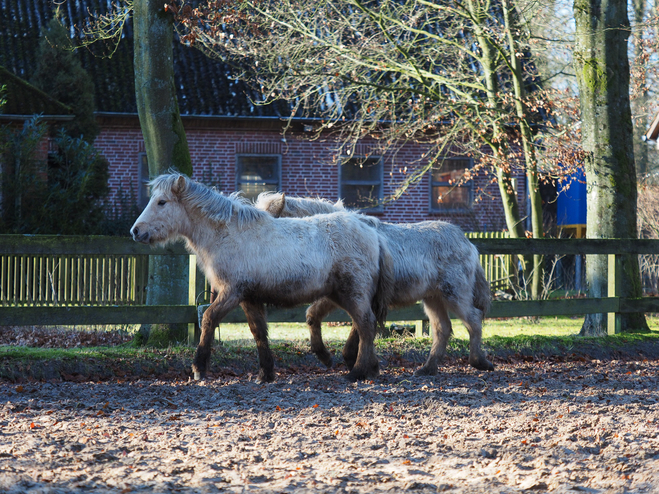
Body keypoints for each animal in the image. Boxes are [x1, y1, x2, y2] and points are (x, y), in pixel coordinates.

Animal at [131, 174, 394, 382]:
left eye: (162, 202)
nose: (136, 231)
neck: (228, 233)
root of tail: (371, 232)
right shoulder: (250, 297)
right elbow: (258, 332)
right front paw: (265, 373)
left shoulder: (232, 292)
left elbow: (208, 319)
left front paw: (198, 369)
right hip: (341, 294)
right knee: (361, 325)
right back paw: (366, 367)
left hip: (352, 293)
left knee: (366, 325)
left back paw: (357, 371)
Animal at [255, 192, 492, 374]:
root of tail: (467, 243)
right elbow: (320, 317)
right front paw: (348, 360)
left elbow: (354, 325)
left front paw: (351, 360)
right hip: (433, 298)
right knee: (442, 329)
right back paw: (428, 369)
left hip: (454, 295)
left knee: (473, 319)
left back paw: (479, 362)